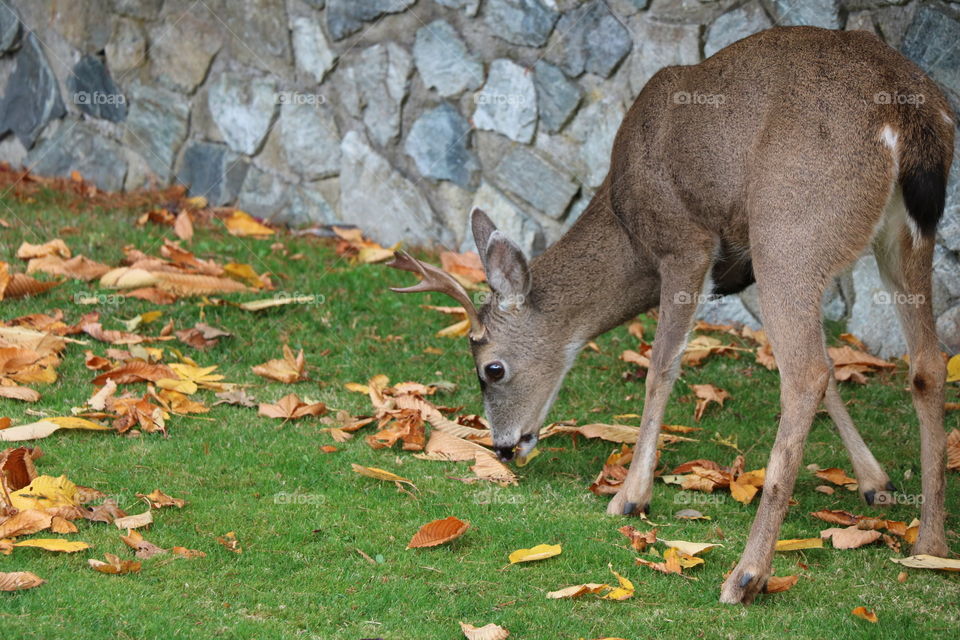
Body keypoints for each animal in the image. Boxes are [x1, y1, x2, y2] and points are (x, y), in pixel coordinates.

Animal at [388, 26, 955, 604]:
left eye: (492, 368)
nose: (503, 447)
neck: (628, 233)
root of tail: (908, 114)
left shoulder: (686, 245)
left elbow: (661, 366)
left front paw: (630, 496)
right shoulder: (738, 266)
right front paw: (876, 483)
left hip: (791, 232)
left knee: (806, 375)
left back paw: (746, 575)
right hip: (901, 239)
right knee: (925, 365)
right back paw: (929, 546)